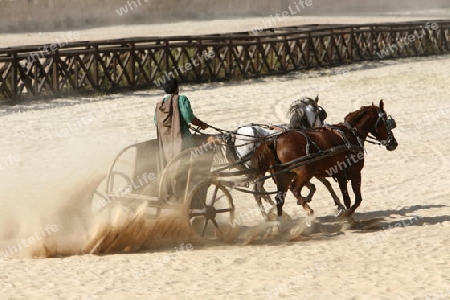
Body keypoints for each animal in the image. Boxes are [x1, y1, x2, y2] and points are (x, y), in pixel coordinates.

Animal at [251, 99, 400, 224]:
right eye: (385, 121)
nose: (393, 143)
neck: (350, 134)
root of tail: (275, 140)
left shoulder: (341, 174)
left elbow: (346, 198)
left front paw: (345, 214)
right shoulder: (355, 172)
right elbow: (357, 199)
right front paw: (347, 214)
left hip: (284, 175)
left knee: (279, 198)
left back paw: (281, 223)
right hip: (304, 172)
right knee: (294, 189)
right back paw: (308, 210)